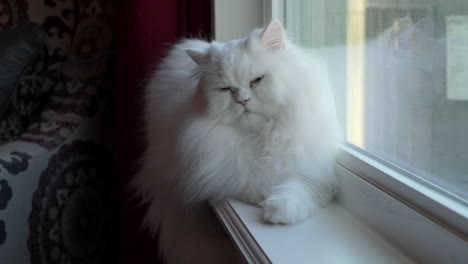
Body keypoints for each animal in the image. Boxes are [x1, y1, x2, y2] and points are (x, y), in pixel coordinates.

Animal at [133, 21, 342, 264]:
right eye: (226, 89)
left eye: (257, 80)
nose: (242, 100)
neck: (261, 135)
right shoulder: (223, 170)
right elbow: (252, 183)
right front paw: (265, 199)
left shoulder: (314, 173)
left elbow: (296, 189)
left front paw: (279, 211)